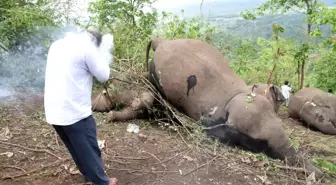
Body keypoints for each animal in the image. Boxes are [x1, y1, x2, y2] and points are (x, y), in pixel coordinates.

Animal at [146, 37, 324, 179]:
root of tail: (161, 41)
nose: (320, 175)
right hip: (154, 74)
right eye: (260, 142)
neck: (236, 96)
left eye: (281, 124)